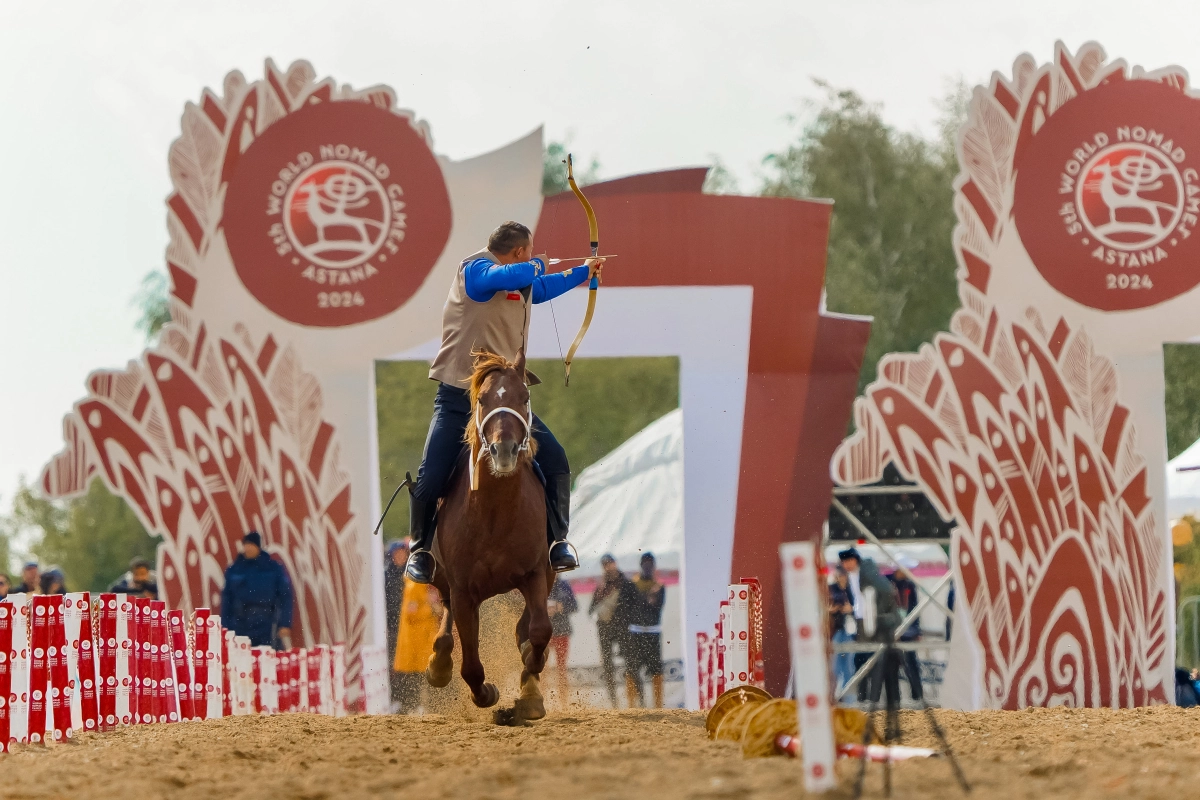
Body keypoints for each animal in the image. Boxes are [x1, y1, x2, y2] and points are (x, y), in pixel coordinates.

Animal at [424, 350, 554, 719]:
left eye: (524, 397)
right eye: (482, 399)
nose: (504, 450)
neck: (494, 512)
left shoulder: (536, 573)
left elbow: (539, 631)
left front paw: (529, 686)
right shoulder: (463, 589)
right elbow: (470, 664)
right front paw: (486, 694)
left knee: (525, 628)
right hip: (441, 576)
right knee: (448, 615)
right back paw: (439, 664)